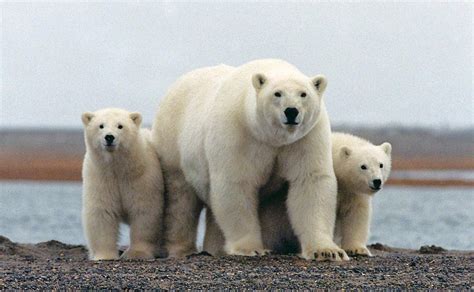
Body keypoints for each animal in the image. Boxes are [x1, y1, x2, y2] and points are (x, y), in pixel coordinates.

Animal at [80, 108, 164, 262]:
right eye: (101, 125)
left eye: (120, 126)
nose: (109, 137)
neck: (118, 168)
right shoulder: (100, 178)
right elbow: (102, 212)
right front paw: (104, 255)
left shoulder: (142, 178)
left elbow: (144, 211)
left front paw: (137, 254)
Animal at [154, 58, 350, 260]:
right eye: (277, 93)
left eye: (303, 94)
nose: (291, 111)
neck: (271, 137)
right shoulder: (239, 133)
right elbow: (236, 184)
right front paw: (251, 248)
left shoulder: (305, 138)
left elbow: (310, 181)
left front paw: (327, 251)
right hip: (173, 142)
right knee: (180, 199)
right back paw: (182, 249)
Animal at [204, 132, 392, 258]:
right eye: (363, 166)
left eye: (381, 164)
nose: (376, 181)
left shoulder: (352, 192)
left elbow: (356, 214)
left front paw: (357, 249)